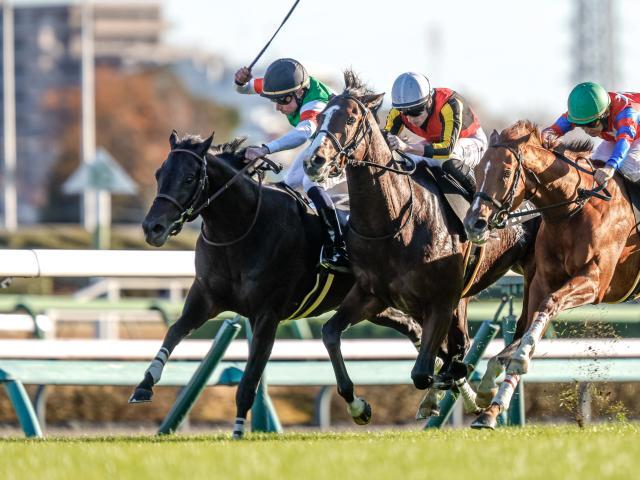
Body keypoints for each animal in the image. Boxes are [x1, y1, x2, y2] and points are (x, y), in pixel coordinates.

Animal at [129, 130, 430, 436]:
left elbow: (249, 382)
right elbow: (174, 332)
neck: (240, 229)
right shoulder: (205, 298)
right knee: (411, 326)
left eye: (189, 178)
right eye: (158, 173)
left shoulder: (267, 314)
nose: (153, 228)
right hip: (372, 302)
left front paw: (238, 431)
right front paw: (144, 385)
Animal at [302, 72, 536, 424]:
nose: (314, 161)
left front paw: (451, 385)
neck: (392, 223)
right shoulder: (372, 293)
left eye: (352, 118)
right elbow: (330, 333)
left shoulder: (440, 300)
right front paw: (358, 405)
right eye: (320, 117)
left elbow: (425, 372)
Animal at [462, 120, 640, 428]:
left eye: (506, 172)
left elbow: (548, 307)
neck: (573, 208)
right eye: (479, 169)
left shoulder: (594, 282)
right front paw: (490, 404)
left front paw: (520, 359)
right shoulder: (541, 282)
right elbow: (524, 332)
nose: (475, 223)